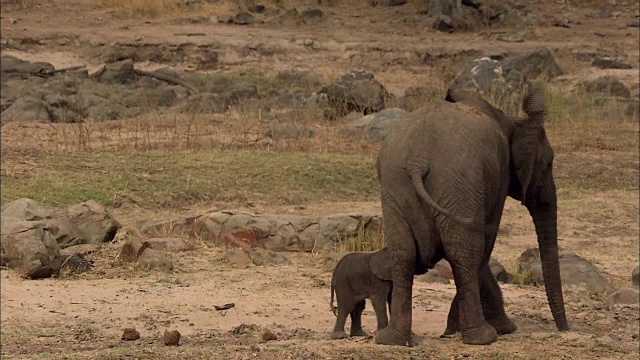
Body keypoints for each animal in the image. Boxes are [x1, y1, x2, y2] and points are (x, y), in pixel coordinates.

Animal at [370, 82, 568, 346]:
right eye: (548, 165)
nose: (565, 329)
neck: (510, 120)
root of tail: (417, 160)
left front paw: (454, 329)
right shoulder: (498, 178)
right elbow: (485, 244)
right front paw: (502, 328)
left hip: (396, 185)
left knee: (403, 254)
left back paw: (392, 339)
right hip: (458, 183)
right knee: (464, 253)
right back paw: (482, 337)